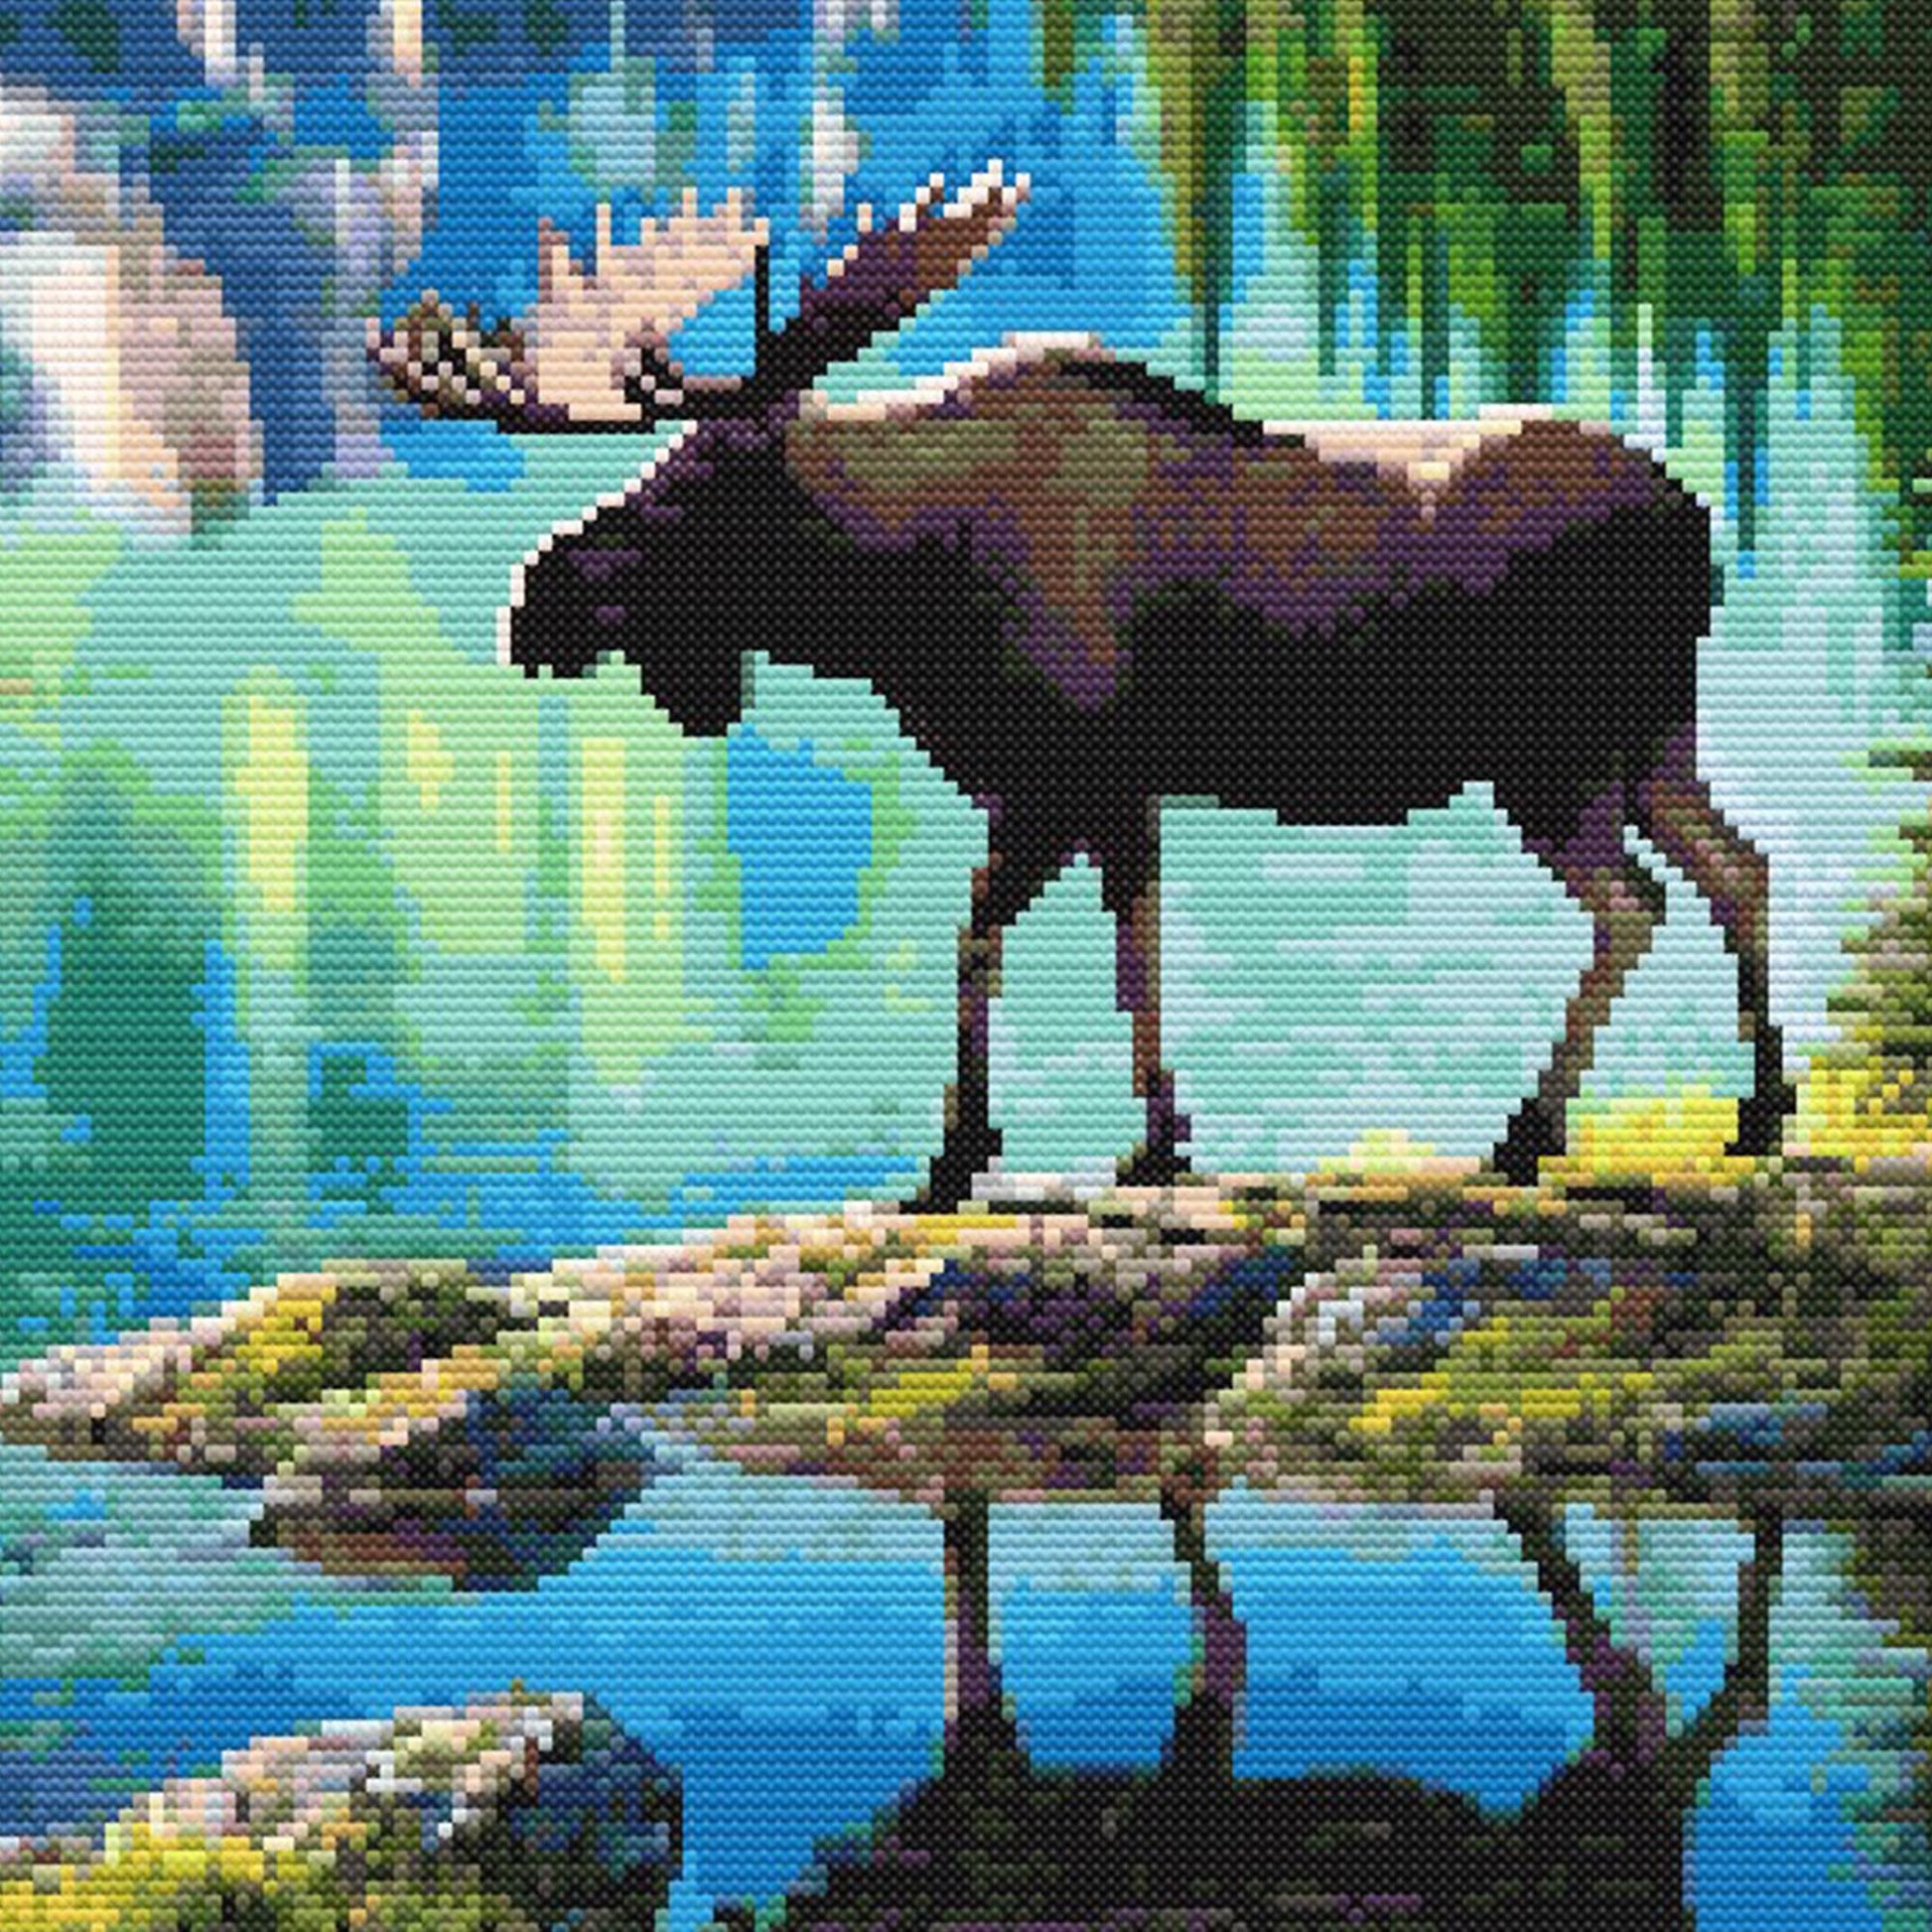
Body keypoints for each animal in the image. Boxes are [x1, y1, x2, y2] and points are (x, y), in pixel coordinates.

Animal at [368, 161, 1790, 1217]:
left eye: (693, 483)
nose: (533, 599)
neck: (901, 592)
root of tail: (1702, 530)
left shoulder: (1057, 771)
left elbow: (981, 939)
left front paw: (958, 1157)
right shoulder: (1117, 788)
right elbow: (1131, 944)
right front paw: (1156, 1138)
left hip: (1549, 755)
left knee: (1633, 901)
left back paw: (1525, 1132)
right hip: (1650, 738)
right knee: (1739, 865)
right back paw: (1758, 1108)